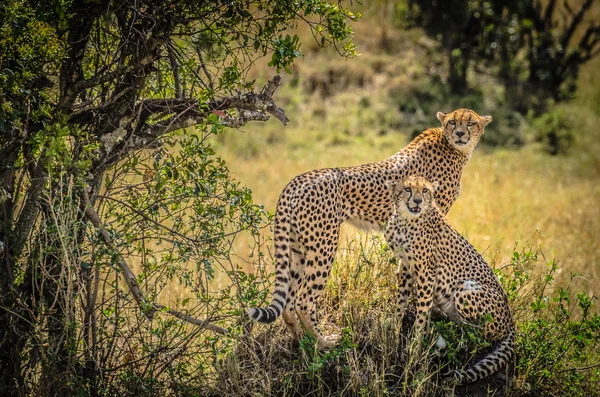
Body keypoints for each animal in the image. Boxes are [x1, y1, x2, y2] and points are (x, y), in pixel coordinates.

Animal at [248, 107, 492, 346]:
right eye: (452, 122)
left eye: (470, 122)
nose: (459, 134)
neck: (451, 146)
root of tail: (296, 181)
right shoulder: (429, 214)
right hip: (323, 247)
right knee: (303, 300)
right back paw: (324, 342)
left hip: (297, 248)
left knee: (288, 302)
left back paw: (303, 342)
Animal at [384, 176, 516, 380]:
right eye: (407, 189)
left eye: (425, 190)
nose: (417, 201)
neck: (405, 220)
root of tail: (511, 321)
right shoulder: (406, 267)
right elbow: (400, 304)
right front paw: (394, 333)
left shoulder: (427, 273)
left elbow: (421, 313)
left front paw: (414, 348)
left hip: (466, 288)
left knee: (479, 338)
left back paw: (454, 344)